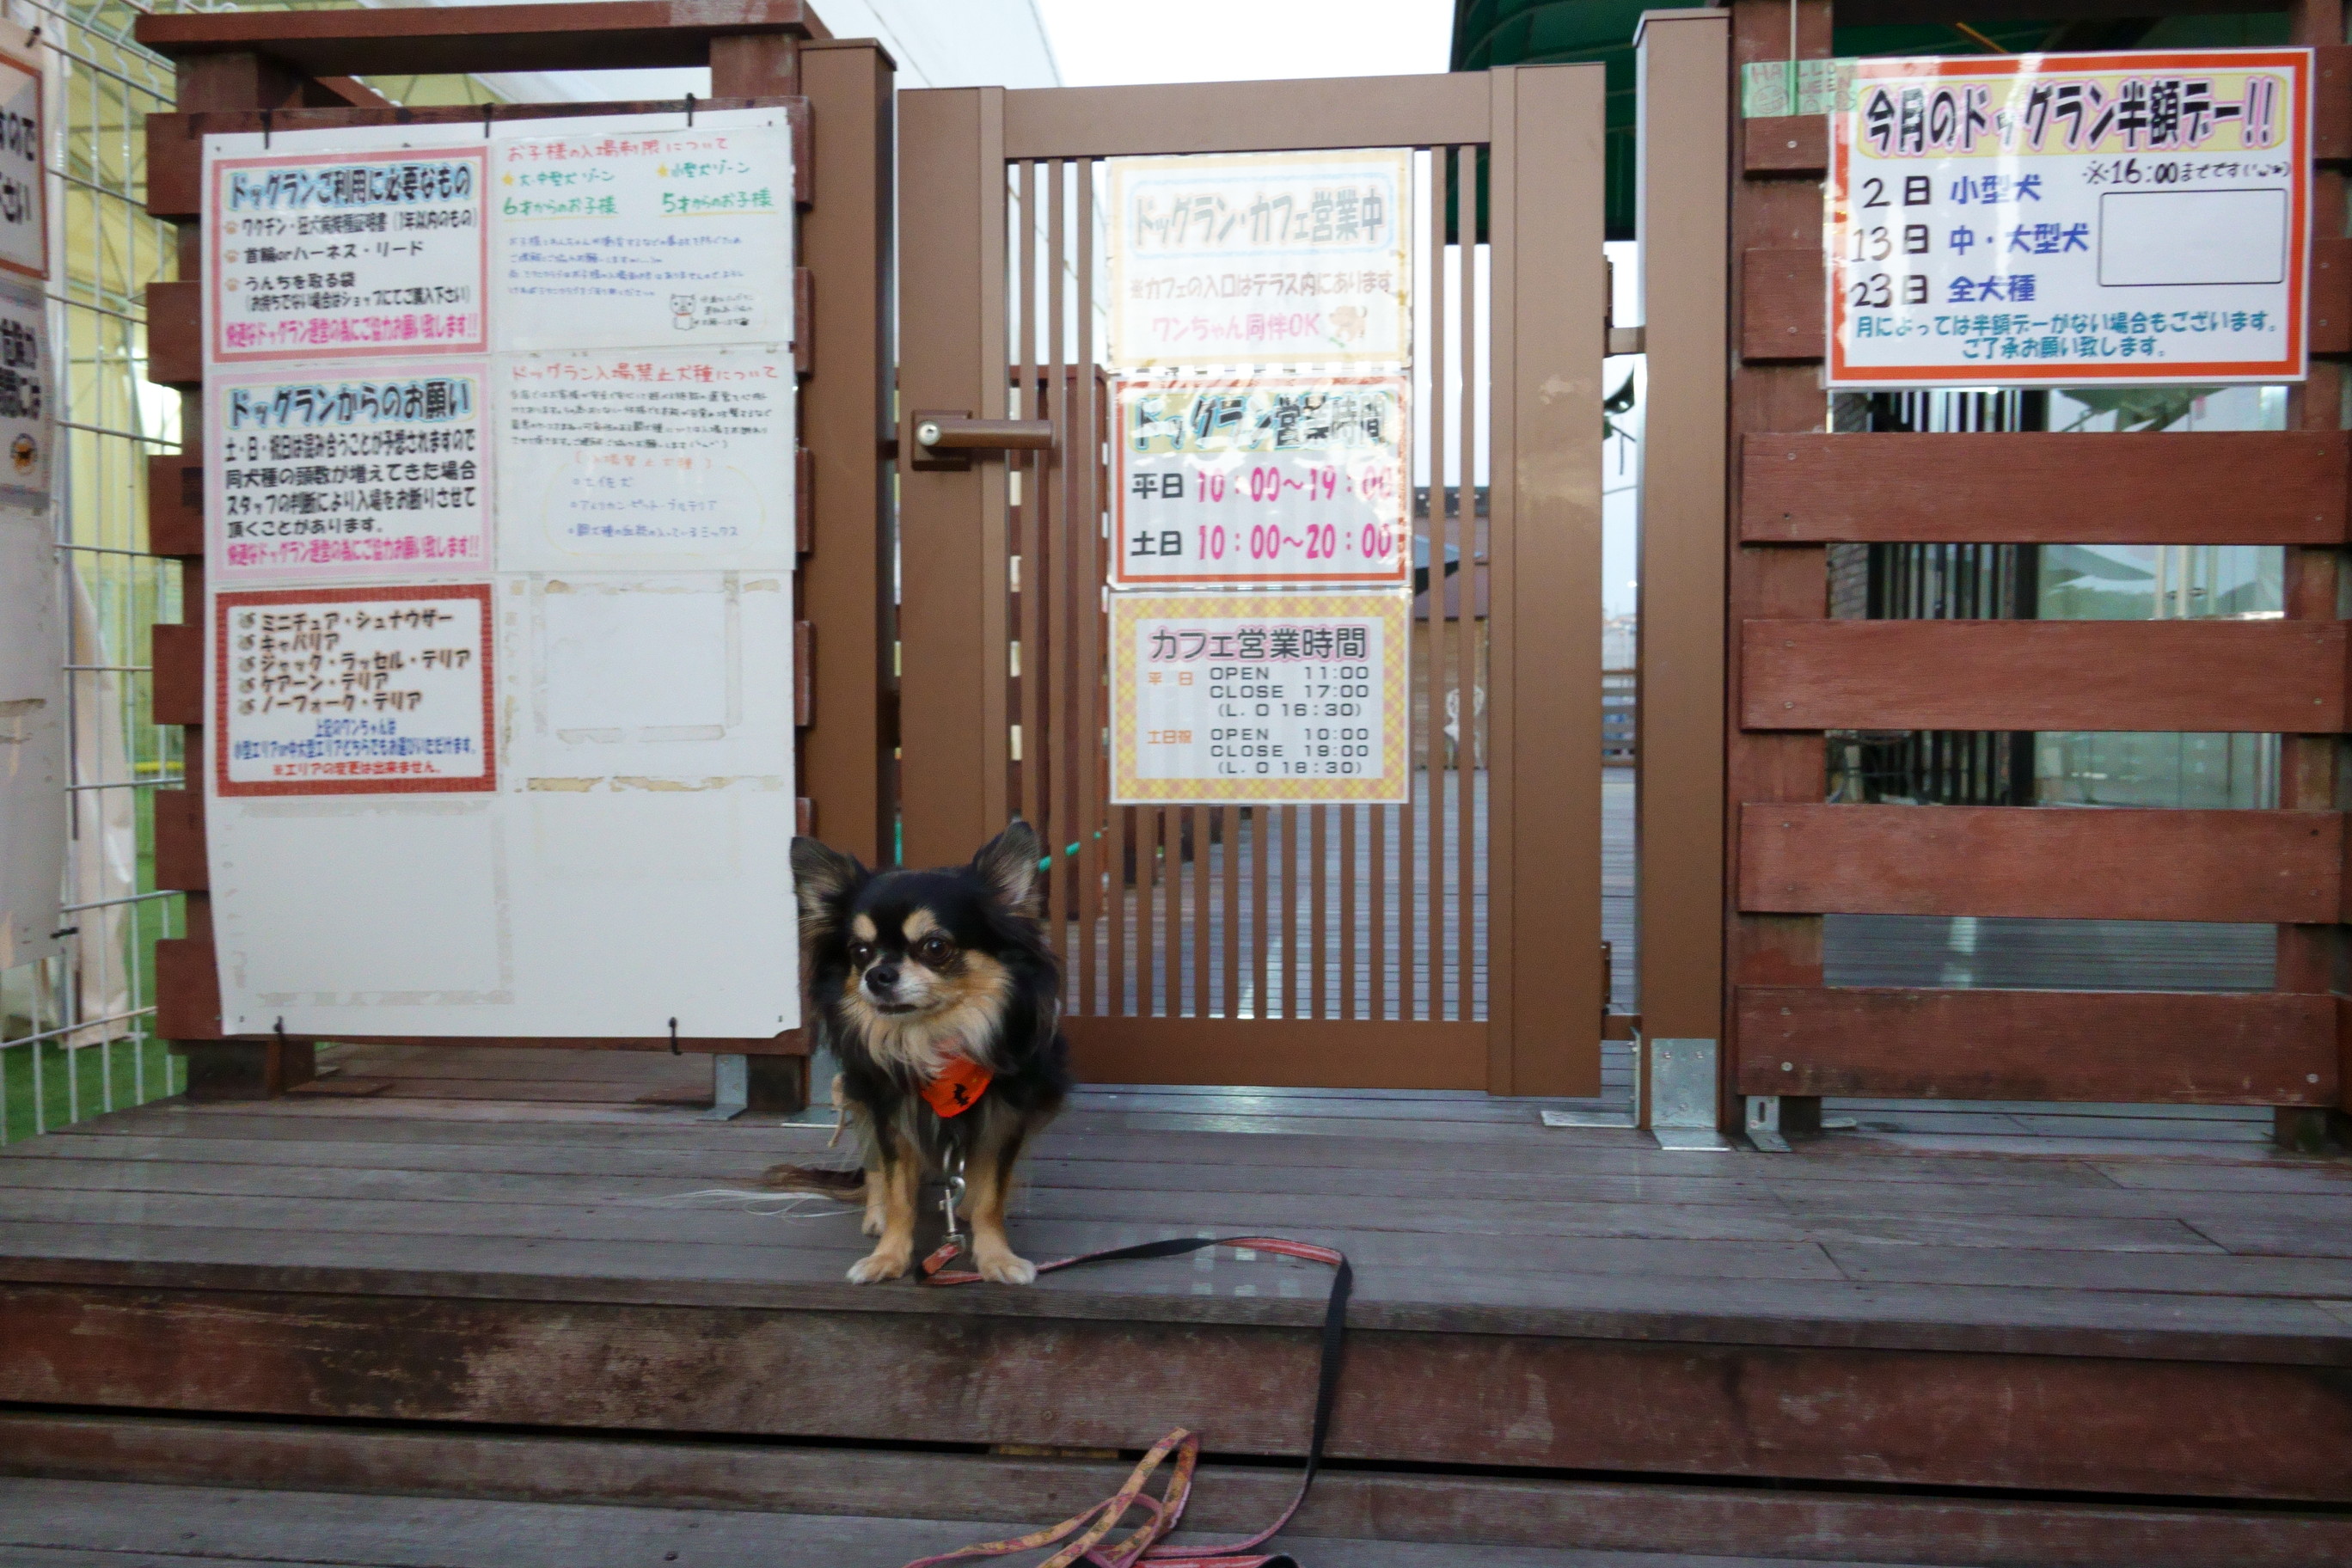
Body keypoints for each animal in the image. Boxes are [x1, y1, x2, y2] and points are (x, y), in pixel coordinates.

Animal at [775, 823, 1072, 1288]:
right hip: (856, 1090)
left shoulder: (1007, 1118)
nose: (877, 974)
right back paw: (877, 1215)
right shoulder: (889, 1112)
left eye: (935, 947)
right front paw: (888, 1256)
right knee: (876, 1167)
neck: (935, 1042)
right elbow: (898, 1189)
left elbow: (991, 1196)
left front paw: (996, 1257)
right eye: (859, 953)